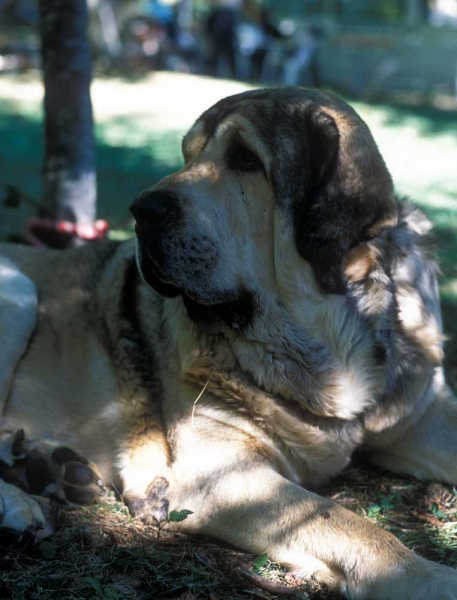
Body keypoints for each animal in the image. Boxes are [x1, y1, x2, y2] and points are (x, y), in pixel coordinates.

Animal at [0, 86, 456, 596]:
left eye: (245, 158)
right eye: (187, 154)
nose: (142, 211)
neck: (330, 351)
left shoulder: (425, 411)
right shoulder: (223, 473)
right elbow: (341, 518)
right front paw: (430, 578)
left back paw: (46, 466)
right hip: (19, 289)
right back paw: (22, 503)